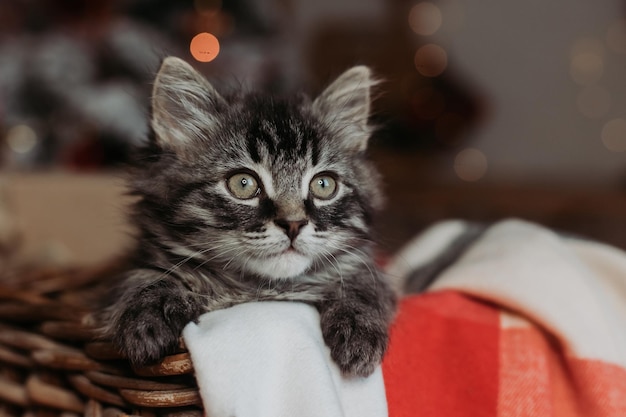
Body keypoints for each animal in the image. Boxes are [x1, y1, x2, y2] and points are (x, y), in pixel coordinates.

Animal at [101, 57, 394, 378]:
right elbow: (143, 277)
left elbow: (365, 285)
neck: (258, 291)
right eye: (243, 184)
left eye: (323, 185)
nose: (293, 224)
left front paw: (359, 328)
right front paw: (148, 317)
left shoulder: (367, 272)